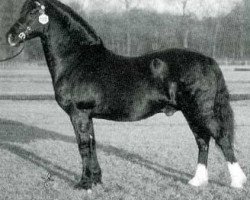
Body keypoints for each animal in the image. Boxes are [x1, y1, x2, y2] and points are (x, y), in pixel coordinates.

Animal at [5, 0, 246, 190]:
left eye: (33, 12)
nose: (10, 37)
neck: (77, 59)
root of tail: (208, 60)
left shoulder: (78, 113)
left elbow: (83, 147)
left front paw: (84, 184)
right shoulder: (88, 116)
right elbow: (92, 144)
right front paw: (96, 180)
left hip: (201, 111)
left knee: (221, 138)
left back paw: (237, 182)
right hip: (191, 112)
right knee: (202, 140)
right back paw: (197, 181)